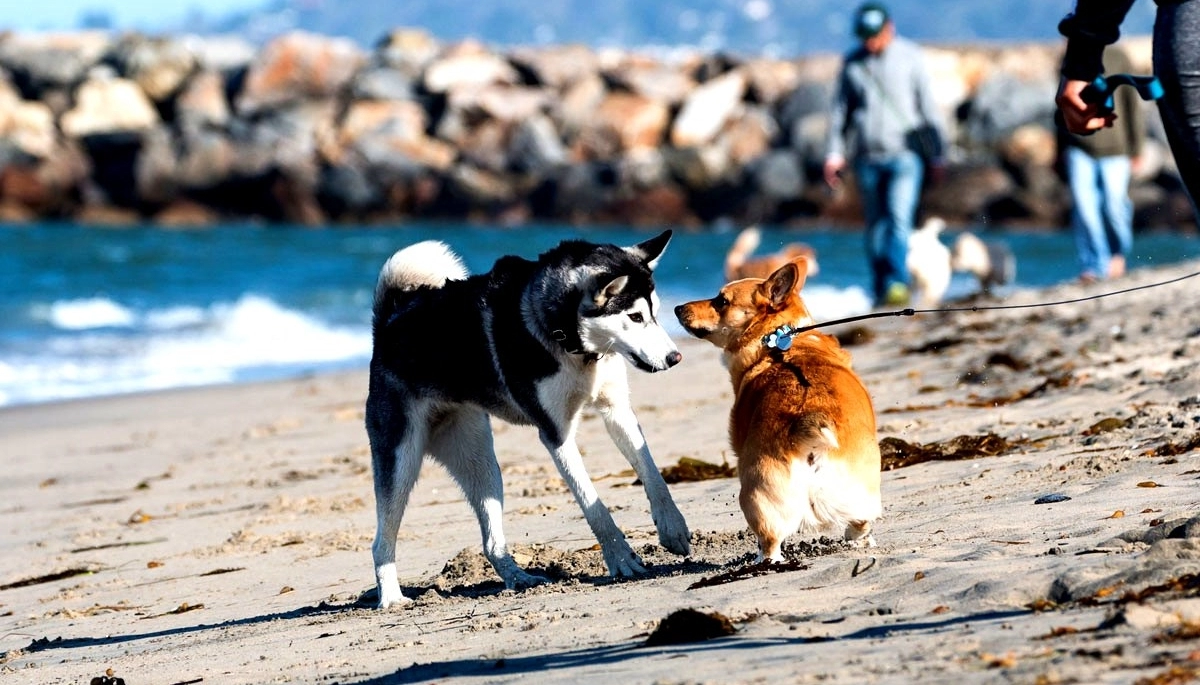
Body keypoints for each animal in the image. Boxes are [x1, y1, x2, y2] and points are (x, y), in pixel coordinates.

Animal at [676, 256, 883, 563]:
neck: (777, 337)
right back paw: (858, 541)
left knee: (770, 542)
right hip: (860, 490)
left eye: (721, 301)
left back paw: (761, 561)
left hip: (756, 496)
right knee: (861, 521)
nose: (677, 308)